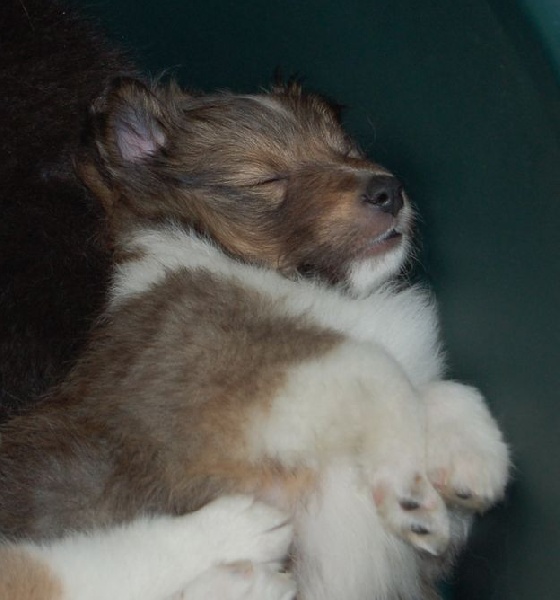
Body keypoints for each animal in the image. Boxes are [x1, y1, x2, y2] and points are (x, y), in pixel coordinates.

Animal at [0, 63, 510, 600]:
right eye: (269, 177)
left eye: (343, 150)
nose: (389, 190)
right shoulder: (229, 383)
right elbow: (374, 362)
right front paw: (408, 489)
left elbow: (441, 387)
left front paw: (473, 458)